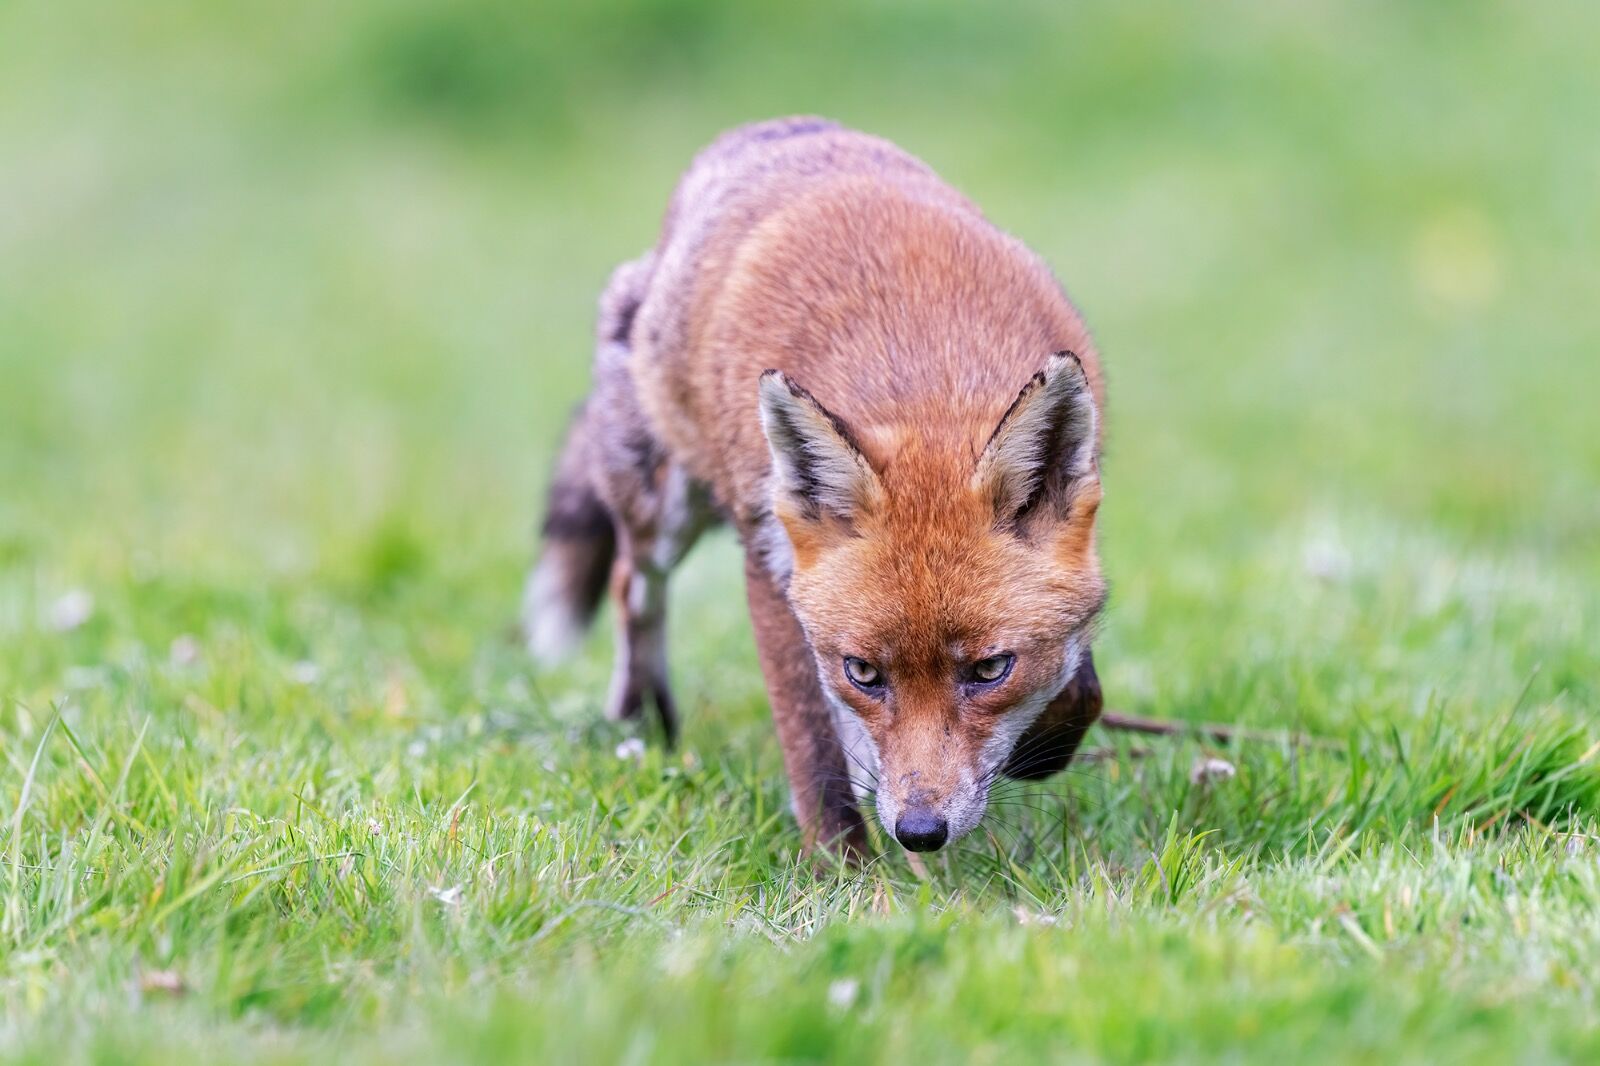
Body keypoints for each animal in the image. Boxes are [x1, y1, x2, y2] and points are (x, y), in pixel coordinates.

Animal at [524, 116, 1107, 859]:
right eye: (865, 673)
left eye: (988, 670)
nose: (920, 832)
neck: (922, 367)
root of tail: (766, 129)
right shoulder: (772, 566)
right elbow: (812, 747)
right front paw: (843, 869)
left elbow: (1081, 677)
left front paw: (1044, 743)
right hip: (665, 506)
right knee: (633, 585)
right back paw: (641, 724)